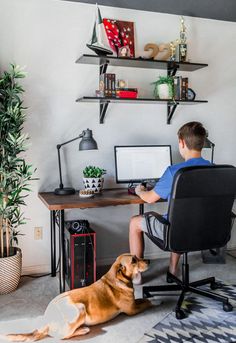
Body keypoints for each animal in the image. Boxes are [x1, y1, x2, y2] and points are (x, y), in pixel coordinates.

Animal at [6, 254, 152, 342]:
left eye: (136, 256)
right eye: (134, 261)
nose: (149, 260)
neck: (119, 279)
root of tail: (46, 322)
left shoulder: (133, 304)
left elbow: (141, 299)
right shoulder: (132, 309)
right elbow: (146, 302)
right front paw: (152, 301)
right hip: (79, 309)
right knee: (63, 336)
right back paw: (83, 329)